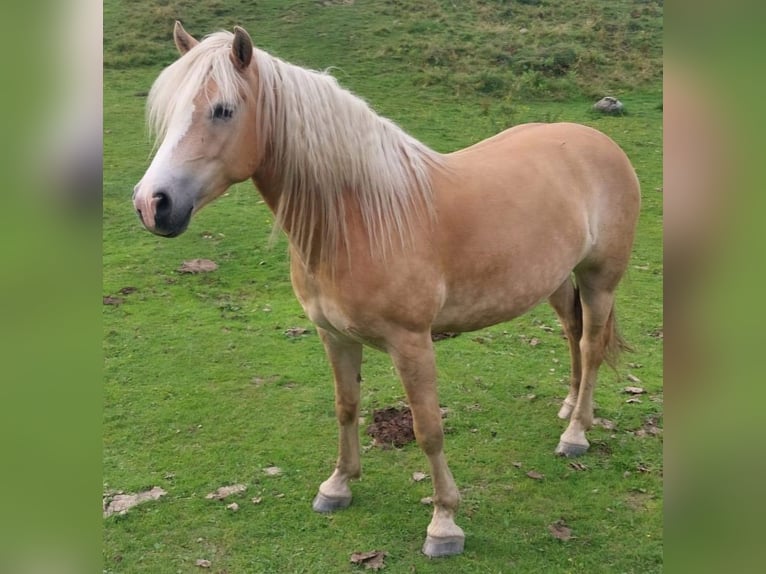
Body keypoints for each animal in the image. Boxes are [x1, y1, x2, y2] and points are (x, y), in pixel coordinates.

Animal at [132, 22, 640, 560]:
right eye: (170, 109)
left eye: (223, 110)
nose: (151, 204)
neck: (358, 218)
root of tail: (597, 141)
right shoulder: (333, 336)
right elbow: (346, 407)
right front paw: (337, 485)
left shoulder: (412, 344)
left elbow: (428, 430)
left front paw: (444, 523)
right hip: (558, 280)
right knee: (572, 333)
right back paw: (569, 407)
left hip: (600, 279)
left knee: (591, 345)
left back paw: (576, 433)